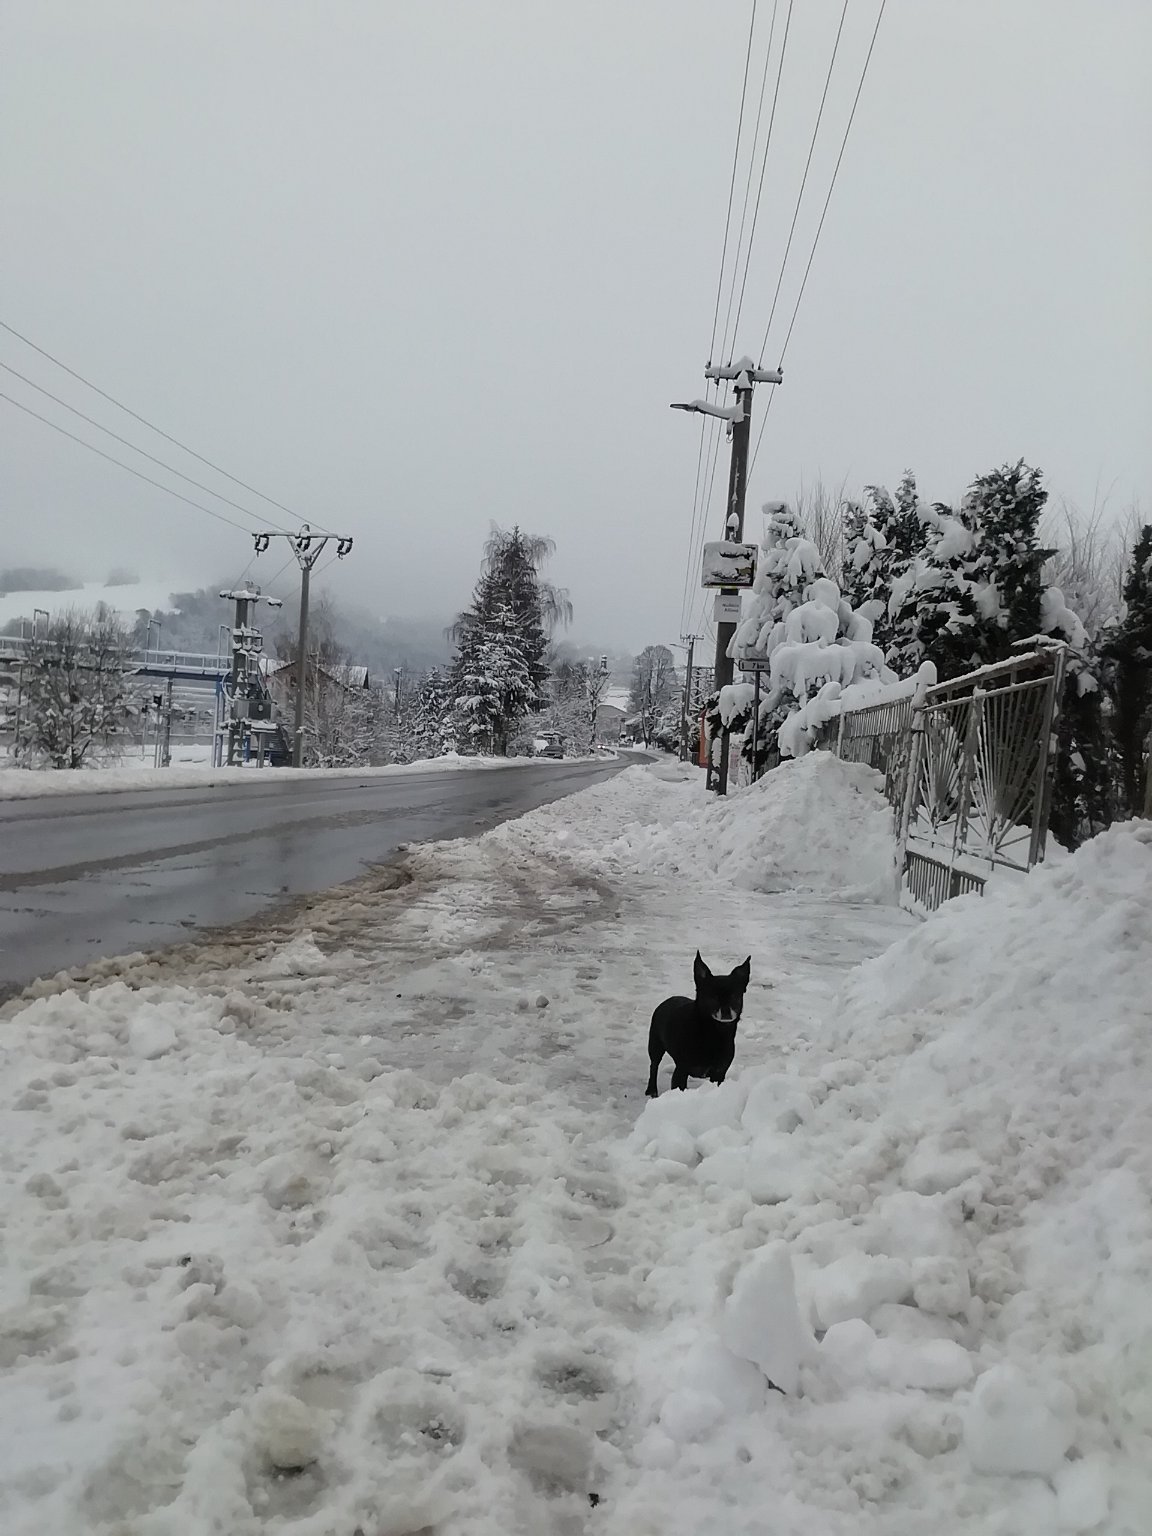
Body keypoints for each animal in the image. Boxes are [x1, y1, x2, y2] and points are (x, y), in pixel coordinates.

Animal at [645, 951, 751, 1097]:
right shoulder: (681, 1070)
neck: (714, 1033)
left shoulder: (719, 1073)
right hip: (655, 1044)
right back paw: (652, 1090)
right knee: (653, 1065)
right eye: (712, 997)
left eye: (735, 996)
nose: (726, 1012)